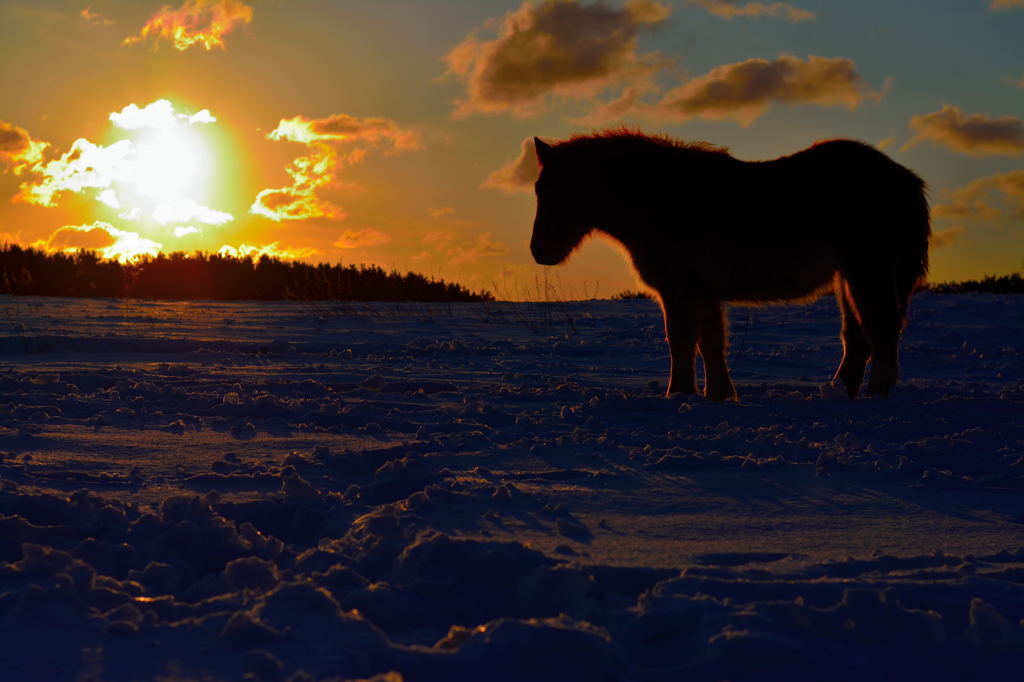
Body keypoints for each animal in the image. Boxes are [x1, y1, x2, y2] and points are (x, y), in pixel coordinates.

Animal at [532, 129, 933, 399]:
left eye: (552, 190)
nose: (539, 251)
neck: (660, 197)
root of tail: (906, 180)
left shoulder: (679, 290)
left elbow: (681, 340)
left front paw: (679, 394)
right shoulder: (702, 291)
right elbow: (709, 342)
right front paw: (719, 395)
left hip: (867, 272)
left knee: (881, 327)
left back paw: (876, 394)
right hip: (848, 278)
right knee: (858, 335)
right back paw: (840, 391)